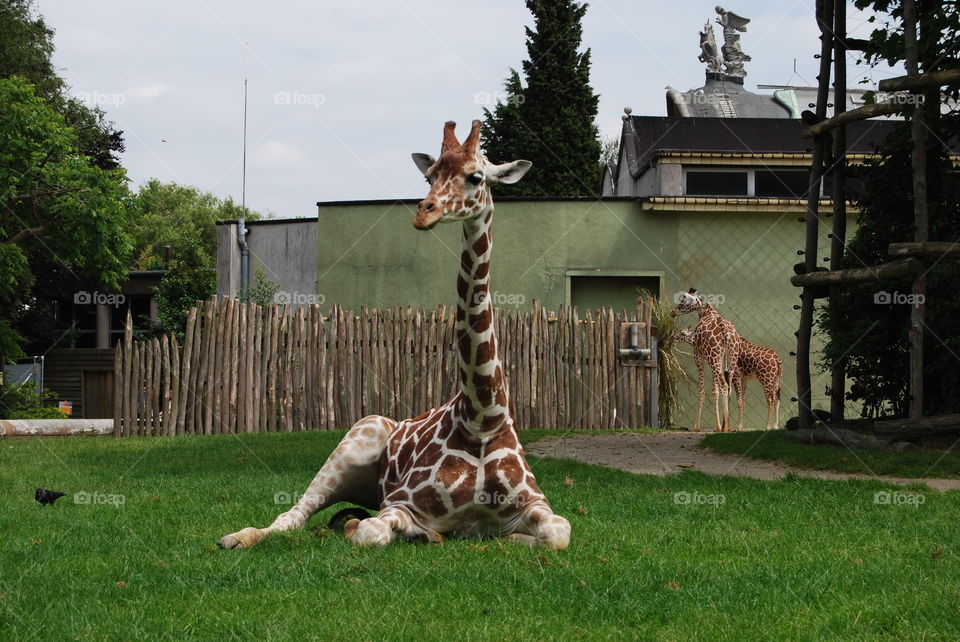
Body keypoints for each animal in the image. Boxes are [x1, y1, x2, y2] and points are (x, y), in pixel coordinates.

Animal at [218, 121, 568, 552]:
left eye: (476, 176)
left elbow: (556, 532)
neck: (482, 417)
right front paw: (371, 528)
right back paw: (237, 538)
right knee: (292, 516)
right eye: (430, 175)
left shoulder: (535, 503)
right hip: (355, 441)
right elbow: (370, 532)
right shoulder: (400, 502)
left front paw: (510, 539)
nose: (424, 213)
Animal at [672, 288, 740, 430]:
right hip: (730, 357)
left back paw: (725, 427)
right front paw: (719, 425)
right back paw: (728, 426)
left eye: (683, 299)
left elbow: (702, 390)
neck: (704, 313)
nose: (673, 311)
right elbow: (715, 391)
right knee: (729, 386)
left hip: (714, 358)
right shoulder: (719, 359)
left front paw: (697, 426)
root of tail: (725, 331)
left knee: (724, 385)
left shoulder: (699, 356)